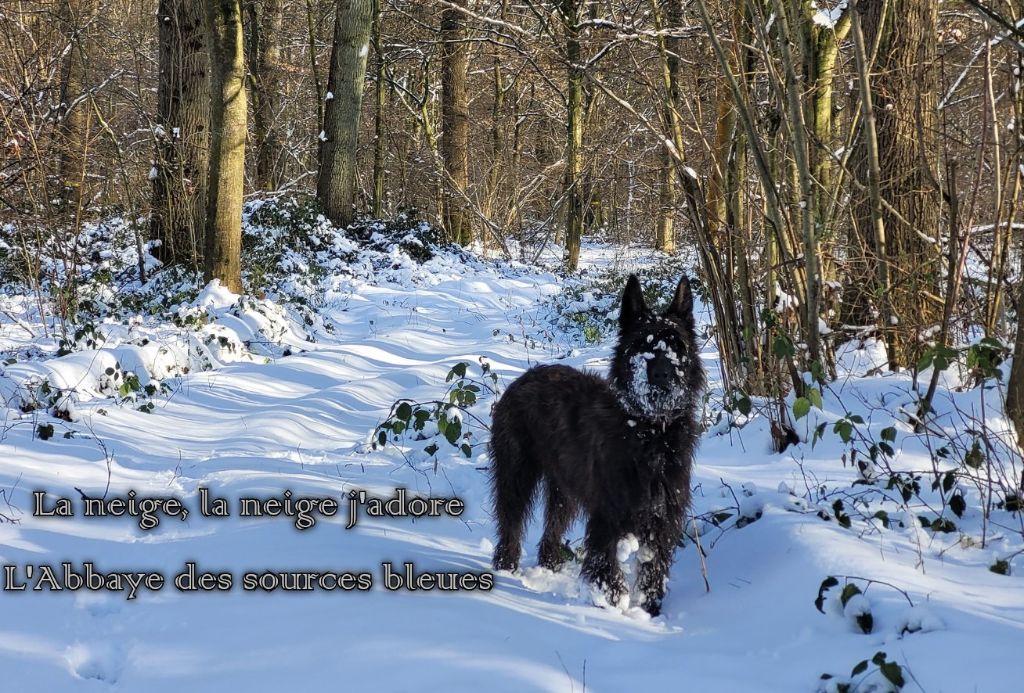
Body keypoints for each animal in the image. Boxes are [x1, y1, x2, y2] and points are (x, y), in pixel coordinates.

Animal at [489, 272, 704, 614]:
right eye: (641, 344)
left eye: (676, 344)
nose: (661, 375)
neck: (649, 431)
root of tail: (524, 377)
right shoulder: (608, 512)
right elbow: (605, 565)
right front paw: (612, 606)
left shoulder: (661, 517)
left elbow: (653, 569)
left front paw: (649, 609)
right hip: (515, 473)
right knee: (510, 523)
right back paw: (505, 568)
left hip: (563, 490)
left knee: (552, 529)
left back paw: (550, 565)